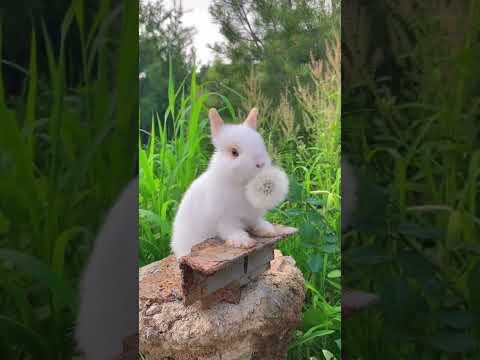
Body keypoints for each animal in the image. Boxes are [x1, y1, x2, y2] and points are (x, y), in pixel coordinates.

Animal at [172, 107, 278, 258]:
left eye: (261, 145)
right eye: (234, 152)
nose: (260, 164)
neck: (241, 186)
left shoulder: (253, 215)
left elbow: (257, 222)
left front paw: (268, 230)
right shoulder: (226, 219)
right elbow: (232, 231)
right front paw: (244, 242)